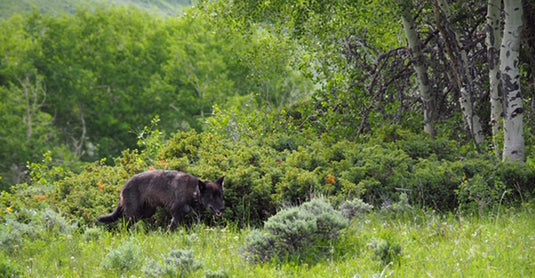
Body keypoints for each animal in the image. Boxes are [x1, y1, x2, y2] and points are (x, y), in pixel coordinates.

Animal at [97, 169, 225, 230]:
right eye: (211, 197)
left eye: (220, 195)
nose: (223, 208)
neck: (193, 191)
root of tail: (124, 185)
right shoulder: (176, 214)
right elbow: (171, 229)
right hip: (133, 215)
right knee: (125, 226)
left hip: (146, 213)